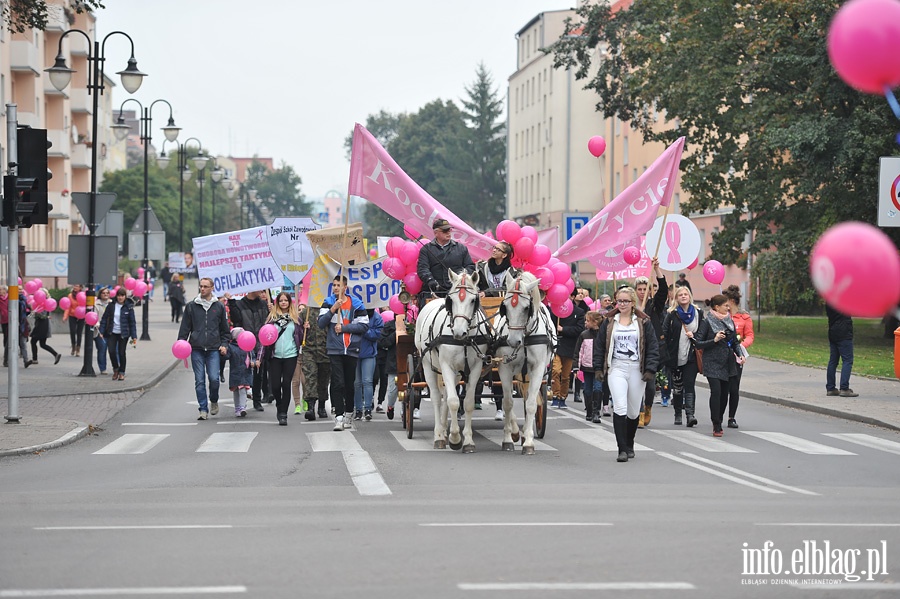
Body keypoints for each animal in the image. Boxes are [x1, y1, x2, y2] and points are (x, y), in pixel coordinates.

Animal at [416, 270, 492, 452]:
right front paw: (455, 438)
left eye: (473, 300)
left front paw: (468, 440)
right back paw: (438, 435)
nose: (458, 332)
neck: (464, 340)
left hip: (456, 373)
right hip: (427, 365)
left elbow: (468, 402)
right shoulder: (446, 366)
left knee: (444, 395)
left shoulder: (475, 368)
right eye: (451, 300)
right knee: (437, 398)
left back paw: (443, 431)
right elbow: (453, 401)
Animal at [492, 270, 556, 454]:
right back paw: (515, 432)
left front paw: (528, 441)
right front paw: (508, 438)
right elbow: (507, 403)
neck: (525, 336)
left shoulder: (538, 368)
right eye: (505, 306)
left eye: (527, 308)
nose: (513, 342)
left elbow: (531, 404)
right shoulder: (505, 367)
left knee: (528, 398)